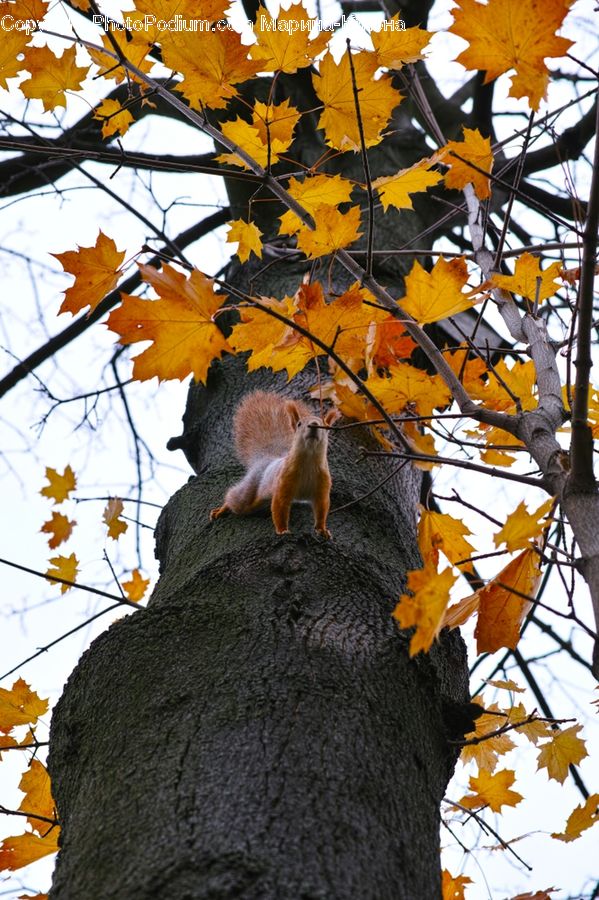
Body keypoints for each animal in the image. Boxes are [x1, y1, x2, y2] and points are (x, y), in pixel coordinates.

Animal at [210, 390, 339, 538]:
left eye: (326, 427)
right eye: (299, 424)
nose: (314, 425)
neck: (309, 460)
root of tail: (266, 459)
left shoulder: (322, 486)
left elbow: (321, 508)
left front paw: (322, 529)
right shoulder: (283, 481)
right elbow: (280, 507)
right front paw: (282, 530)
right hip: (250, 489)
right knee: (235, 499)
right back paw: (221, 509)